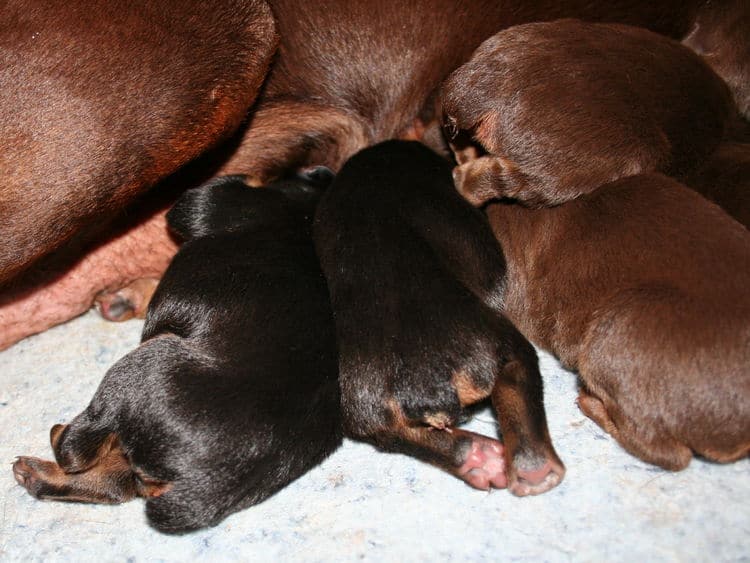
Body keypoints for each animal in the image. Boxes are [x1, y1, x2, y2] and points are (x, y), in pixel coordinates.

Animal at [12, 172, 340, 532]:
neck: (305, 212)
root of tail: (206, 483)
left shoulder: (207, 203)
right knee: (114, 482)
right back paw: (37, 474)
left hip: (141, 366)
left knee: (78, 448)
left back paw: (58, 438)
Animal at [314, 141, 568, 498]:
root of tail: (421, 385)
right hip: (500, 344)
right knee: (517, 386)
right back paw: (534, 470)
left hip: (362, 405)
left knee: (397, 435)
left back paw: (478, 458)